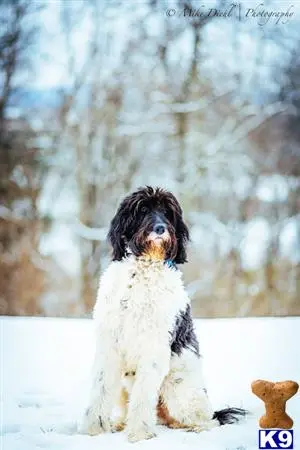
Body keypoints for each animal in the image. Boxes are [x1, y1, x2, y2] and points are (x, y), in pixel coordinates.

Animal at [80, 186, 246, 442]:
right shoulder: (110, 343)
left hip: (179, 392)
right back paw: (119, 423)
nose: (160, 229)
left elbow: (143, 394)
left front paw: (139, 433)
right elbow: (100, 386)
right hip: (125, 386)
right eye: (142, 210)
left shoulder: (154, 345)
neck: (144, 268)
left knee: (207, 419)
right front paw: (94, 429)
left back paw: (195, 427)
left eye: (168, 213)